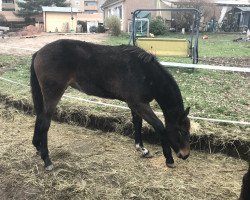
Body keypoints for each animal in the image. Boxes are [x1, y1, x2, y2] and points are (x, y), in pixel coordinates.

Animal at [30, 39, 191, 170]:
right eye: (181, 131)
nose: (185, 154)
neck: (144, 72)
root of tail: (39, 52)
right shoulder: (140, 105)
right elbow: (160, 127)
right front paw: (169, 159)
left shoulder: (135, 105)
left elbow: (137, 124)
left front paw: (142, 149)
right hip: (53, 94)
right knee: (45, 123)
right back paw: (47, 160)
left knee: (40, 117)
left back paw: (38, 147)